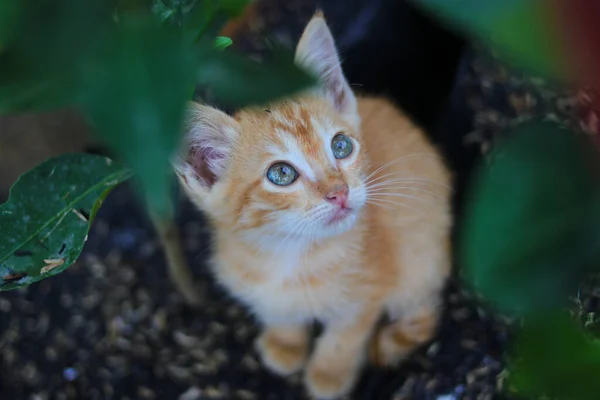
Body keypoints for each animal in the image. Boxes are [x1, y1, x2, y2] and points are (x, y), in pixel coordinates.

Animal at [172, 12, 450, 400]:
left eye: (341, 146)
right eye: (282, 173)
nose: (340, 192)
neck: (289, 253)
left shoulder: (370, 291)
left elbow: (345, 335)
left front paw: (328, 374)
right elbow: (279, 312)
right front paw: (285, 344)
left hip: (420, 258)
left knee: (424, 317)